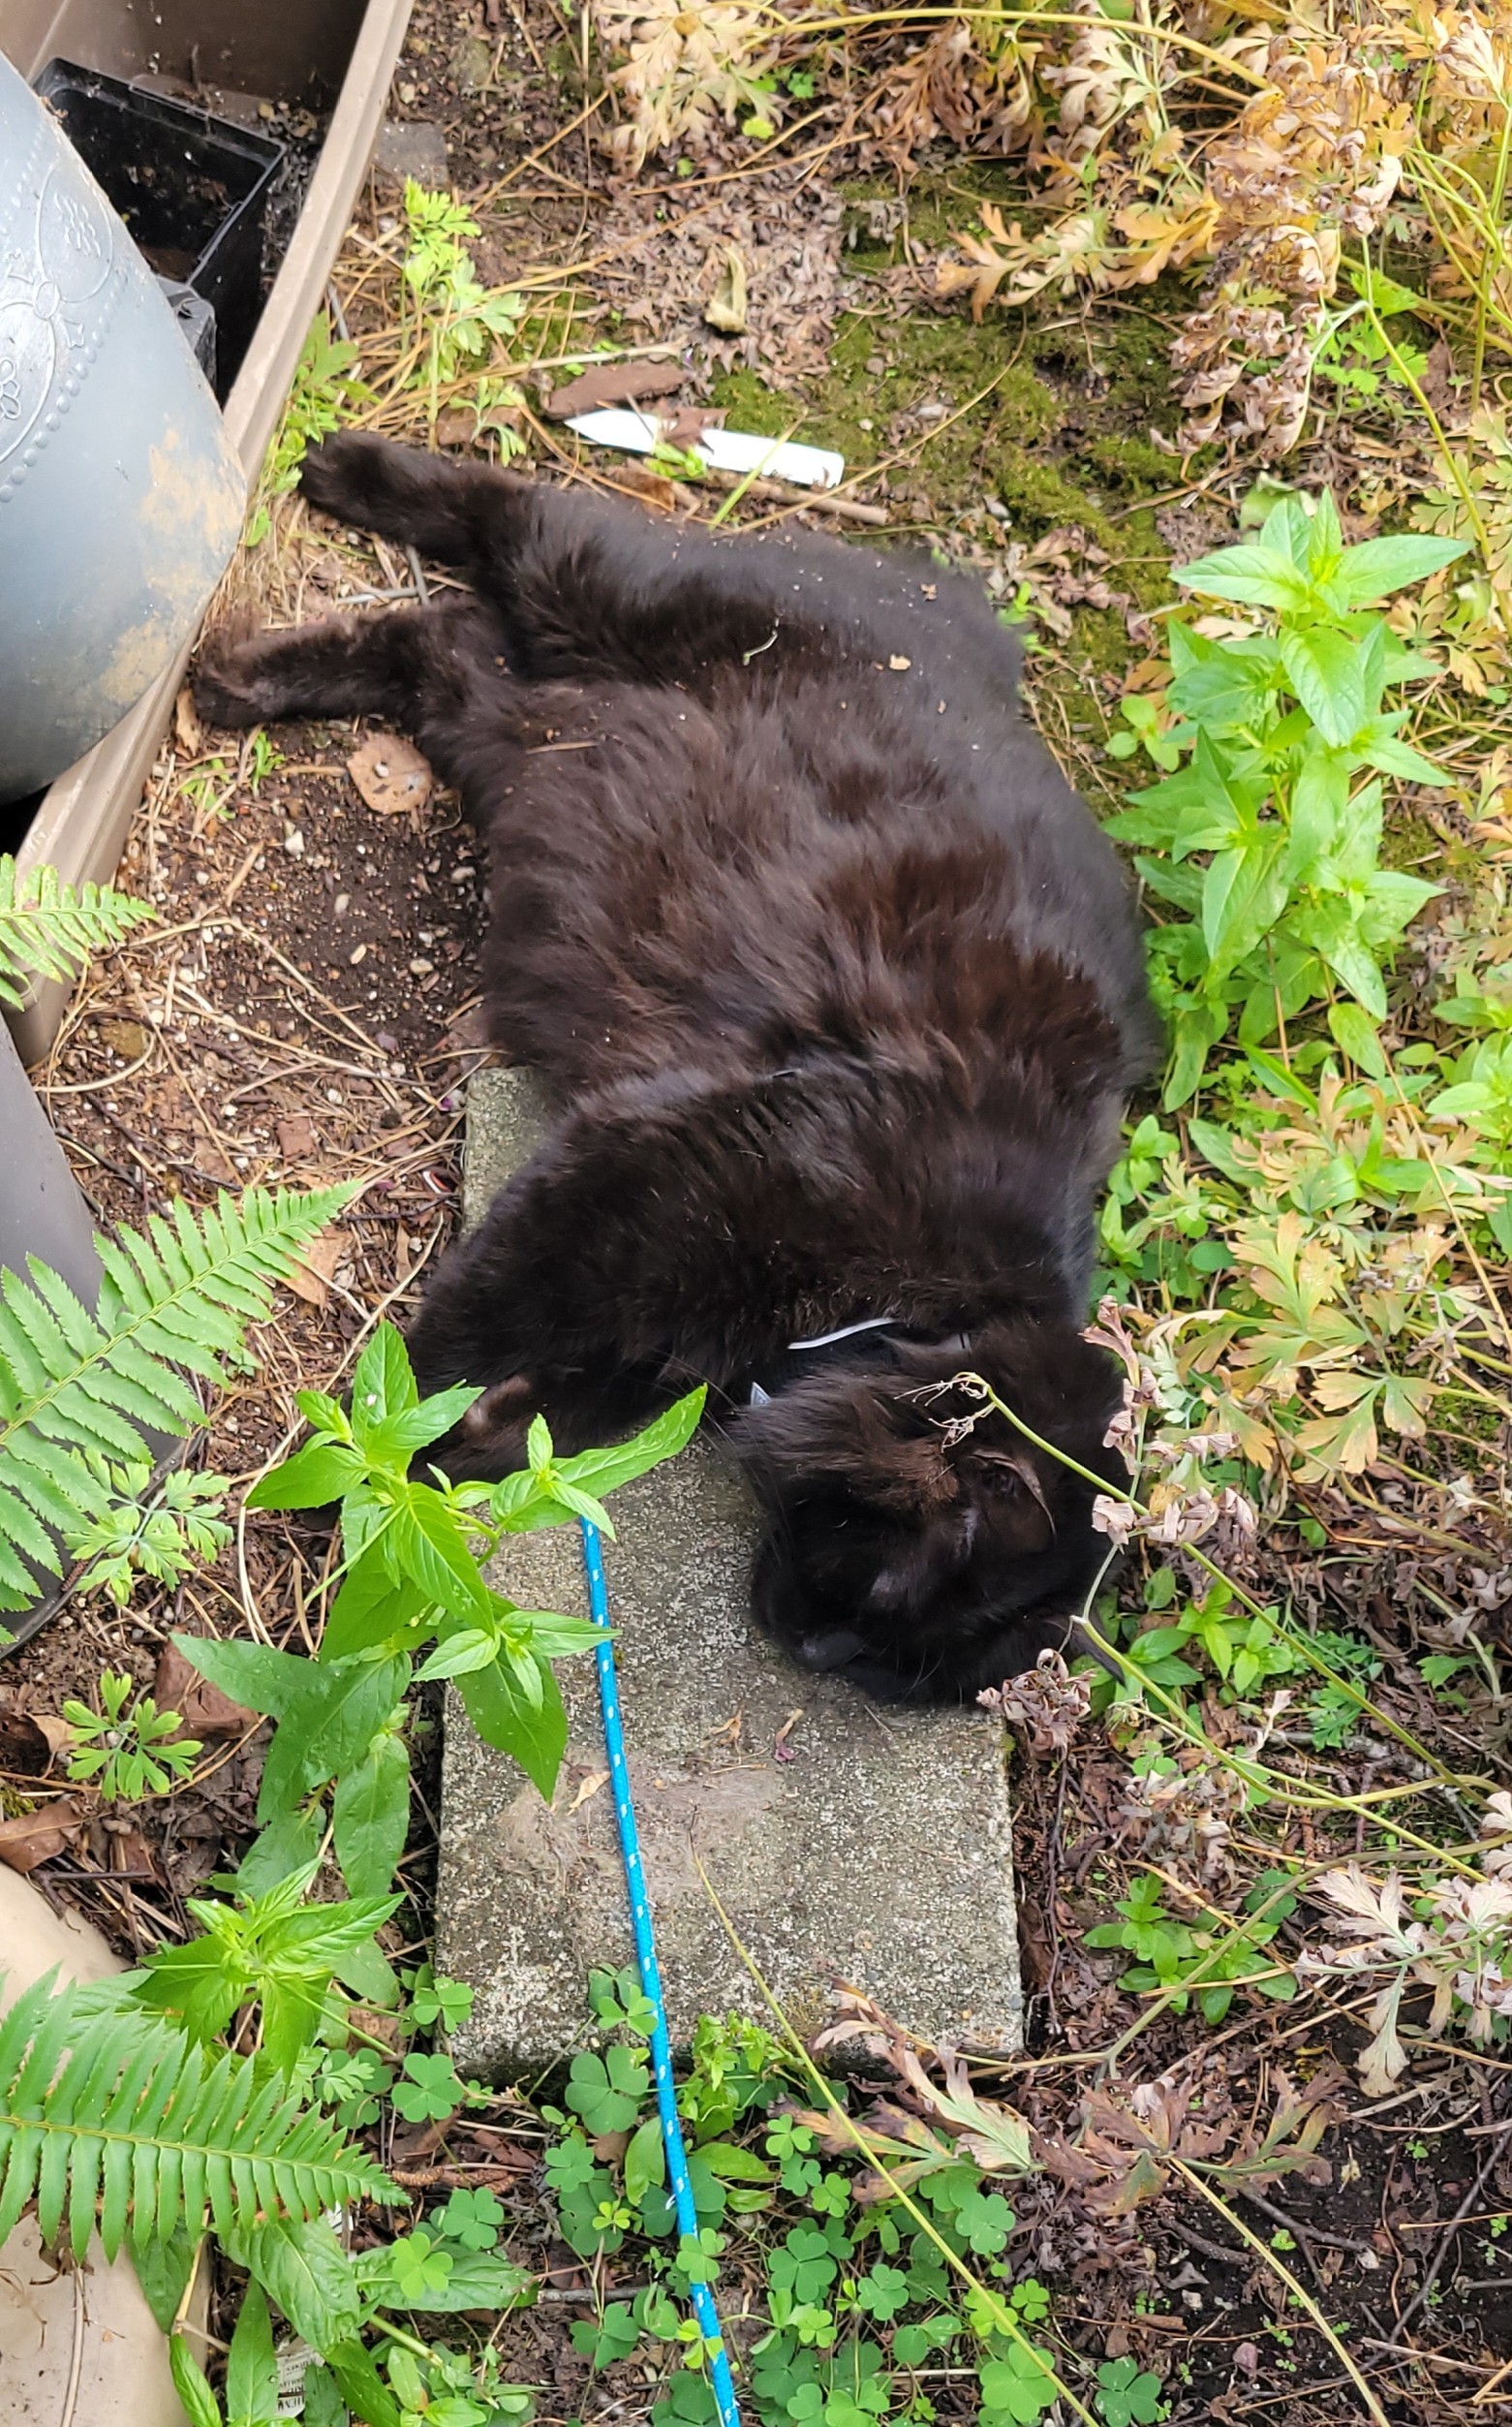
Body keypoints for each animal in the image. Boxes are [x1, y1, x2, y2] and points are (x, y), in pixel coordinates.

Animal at [191, 426, 1159, 1698]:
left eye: (891, 1671)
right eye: (879, 1597)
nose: (812, 1646)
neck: (923, 1301)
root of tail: (956, 612)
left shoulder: (647, 1312)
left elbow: (555, 1426)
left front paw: (454, 1466)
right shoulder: (643, 1186)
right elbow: (455, 1346)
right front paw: (369, 1458)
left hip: (526, 733)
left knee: (439, 642)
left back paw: (255, 672)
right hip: (605, 584)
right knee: (506, 513)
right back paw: (334, 495)